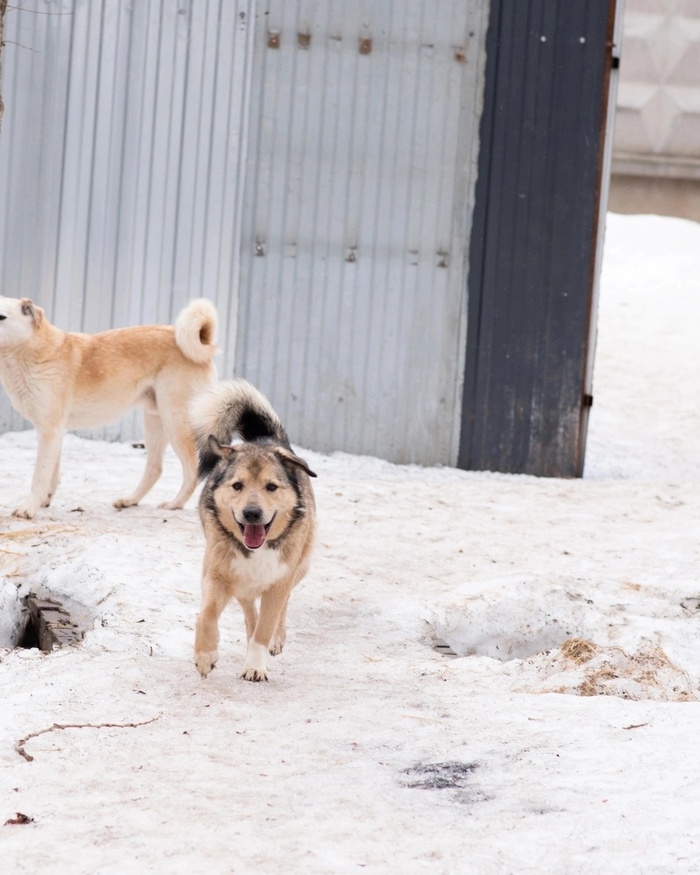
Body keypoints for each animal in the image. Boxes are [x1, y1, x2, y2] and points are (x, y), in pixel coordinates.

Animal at [0, 295, 218, 518]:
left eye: (1, 317)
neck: (32, 351)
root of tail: (202, 341)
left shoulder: (49, 431)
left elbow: (40, 476)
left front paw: (28, 508)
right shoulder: (54, 432)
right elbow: (52, 473)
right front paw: (44, 501)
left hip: (176, 424)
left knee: (193, 471)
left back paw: (175, 504)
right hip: (154, 422)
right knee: (155, 468)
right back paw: (130, 500)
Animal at [191, 378, 316, 682]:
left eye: (271, 486)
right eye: (237, 485)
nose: (252, 513)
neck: (257, 550)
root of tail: (269, 439)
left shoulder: (279, 581)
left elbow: (267, 625)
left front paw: (256, 666)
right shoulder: (217, 575)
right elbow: (206, 615)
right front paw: (205, 655)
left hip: (300, 567)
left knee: (281, 608)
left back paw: (275, 641)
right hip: (241, 584)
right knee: (250, 613)